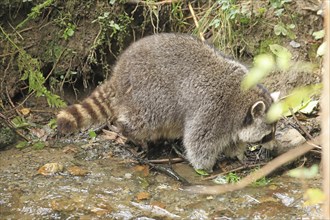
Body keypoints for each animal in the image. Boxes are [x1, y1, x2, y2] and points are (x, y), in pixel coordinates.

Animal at [58, 32, 278, 171]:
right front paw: (206, 167)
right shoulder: (213, 111)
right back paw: (131, 133)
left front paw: (236, 153)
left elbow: (232, 139)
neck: (243, 100)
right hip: (148, 95)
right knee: (143, 121)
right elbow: (198, 142)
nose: (275, 150)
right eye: (267, 135)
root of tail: (119, 73)